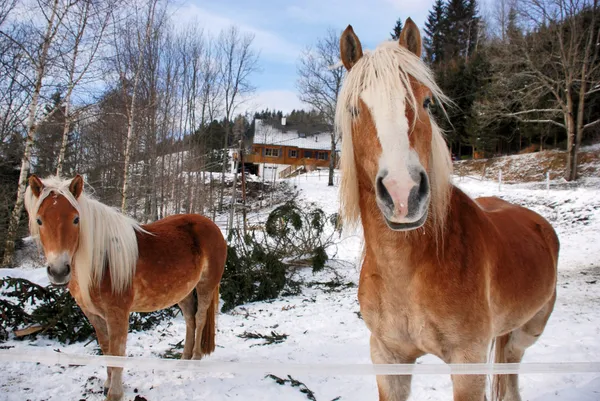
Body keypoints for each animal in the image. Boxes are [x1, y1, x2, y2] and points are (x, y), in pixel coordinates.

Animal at [22, 174, 225, 400]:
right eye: (39, 220)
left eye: (76, 219)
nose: (58, 271)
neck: (102, 261)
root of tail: (211, 225)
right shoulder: (94, 315)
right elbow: (106, 348)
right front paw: (107, 384)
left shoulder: (117, 313)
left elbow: (117, 351)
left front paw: (115, 393)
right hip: (184, 292)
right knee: (190, 319)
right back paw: (183, 359)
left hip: (206, 285)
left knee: (200, 318)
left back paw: (195, 359)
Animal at [338, 18, 556, 400]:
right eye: (354, 109)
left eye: (426, 102)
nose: (403, 193)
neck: (406, 272)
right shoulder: (387, 358)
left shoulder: (468, 363)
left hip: (524, 333)